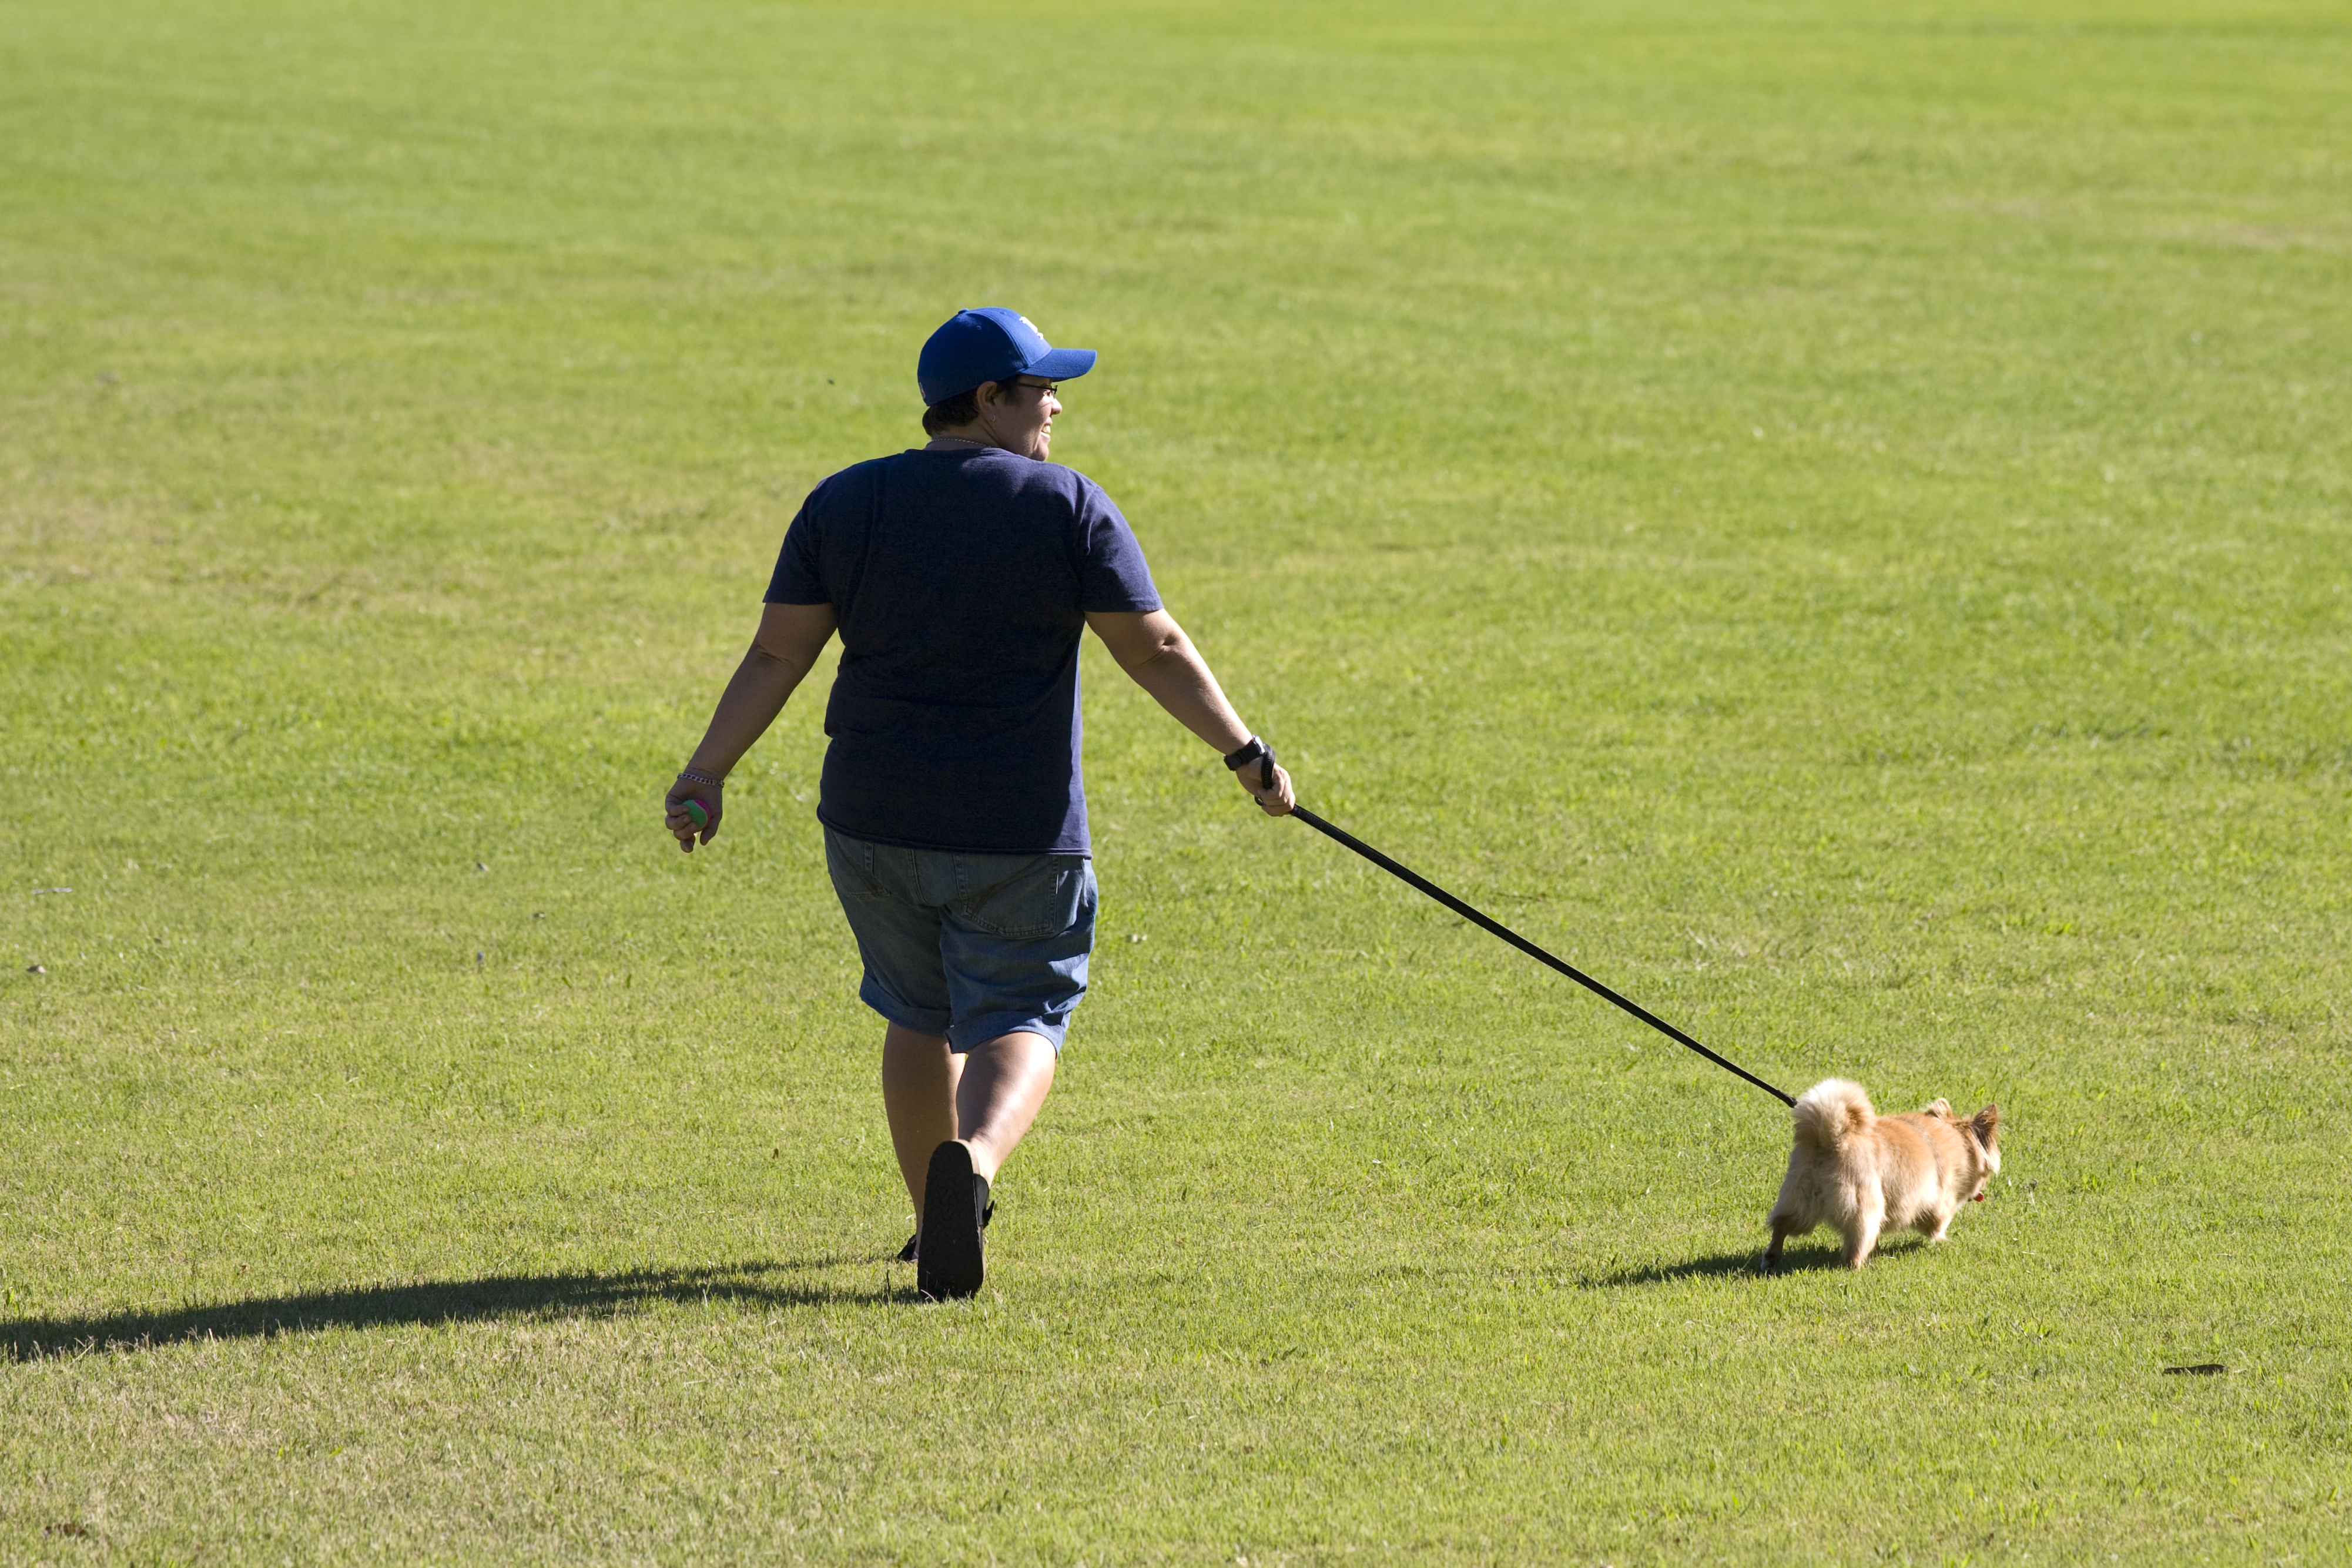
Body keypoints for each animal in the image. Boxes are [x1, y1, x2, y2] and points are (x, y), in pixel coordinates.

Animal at [1768, 1086, 2003, 1269]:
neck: (1954, 1139)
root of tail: (1831, 1139)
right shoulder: (1937, 1199)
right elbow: (1939, 1223)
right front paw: (1942, 1238)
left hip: (1799, 1202)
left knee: (1780, 1227)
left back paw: (1771, 1259)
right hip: (1865, 1208)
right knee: (1856, 1244)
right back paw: (1857, 1266)